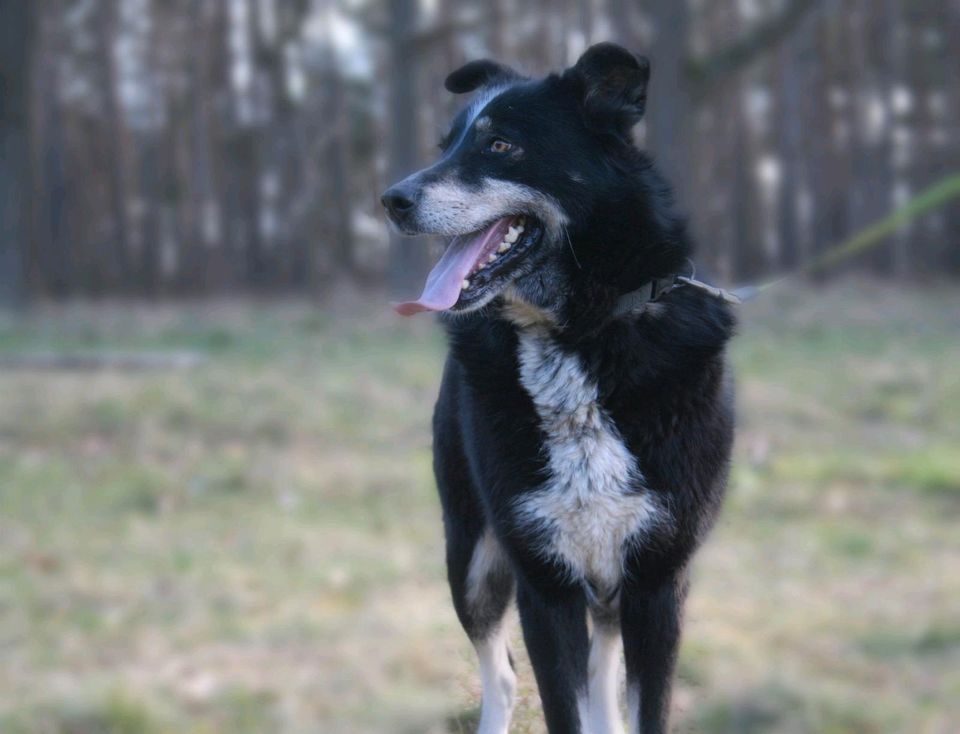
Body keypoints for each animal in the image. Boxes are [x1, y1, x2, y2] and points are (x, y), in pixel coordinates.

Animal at [378, 43, 732, 734]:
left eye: (501, 146)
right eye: (446, 145)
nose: (391, 199)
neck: (575, 334)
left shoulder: (656, 581)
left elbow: (636, 706)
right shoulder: (542, 580)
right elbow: (559, 700)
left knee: (601, 684)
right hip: (471, 558)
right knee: (502, 675)